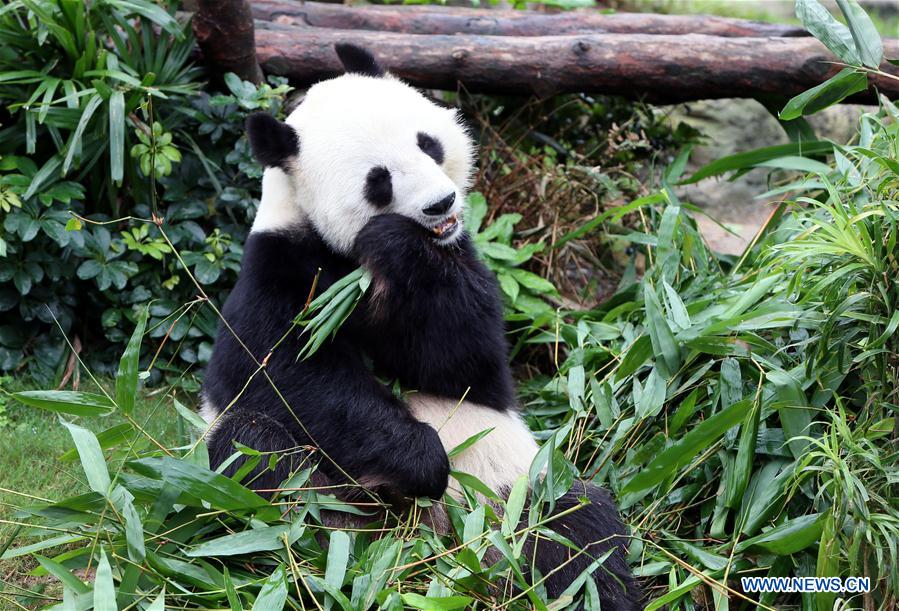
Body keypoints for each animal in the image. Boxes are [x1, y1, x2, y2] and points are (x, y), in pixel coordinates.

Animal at [201, 44, 644, 611]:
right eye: (379, 180)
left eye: (427, 143)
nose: (441, 204)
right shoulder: (280, 269)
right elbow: (285, 374)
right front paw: (422, 459)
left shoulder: (453, 263)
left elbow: (462, 361)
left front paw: (398, 244)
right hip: (323, 500)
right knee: (260, 458)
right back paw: (318, 564)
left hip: (512, 486)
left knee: (573, 529)